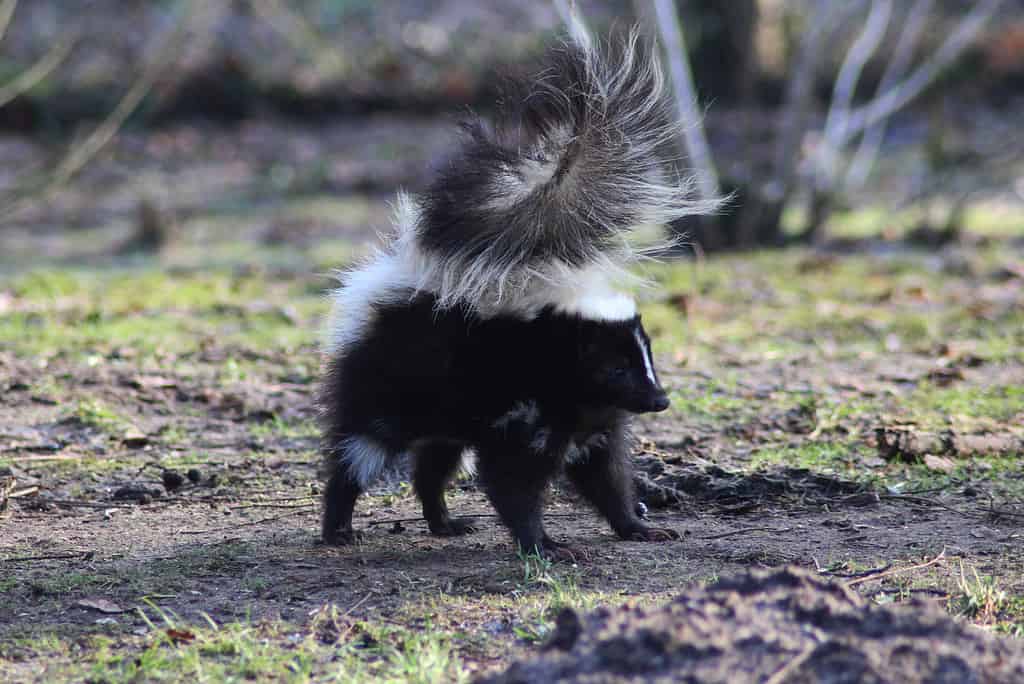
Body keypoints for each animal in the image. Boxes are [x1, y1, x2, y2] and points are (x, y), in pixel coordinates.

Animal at [317, 29, 712, 557]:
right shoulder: (523, 412)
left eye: (649, 360)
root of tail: (411, 275)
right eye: (615, 367)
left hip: (449, 406)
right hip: (389, 388)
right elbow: (512, 479)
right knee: (358, 451)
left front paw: (637, 526)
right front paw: (543, 544)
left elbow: (605, 477)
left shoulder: (591, 425)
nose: (660, 400)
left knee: (433, 464)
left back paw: (444, 522)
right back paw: (338, 527)